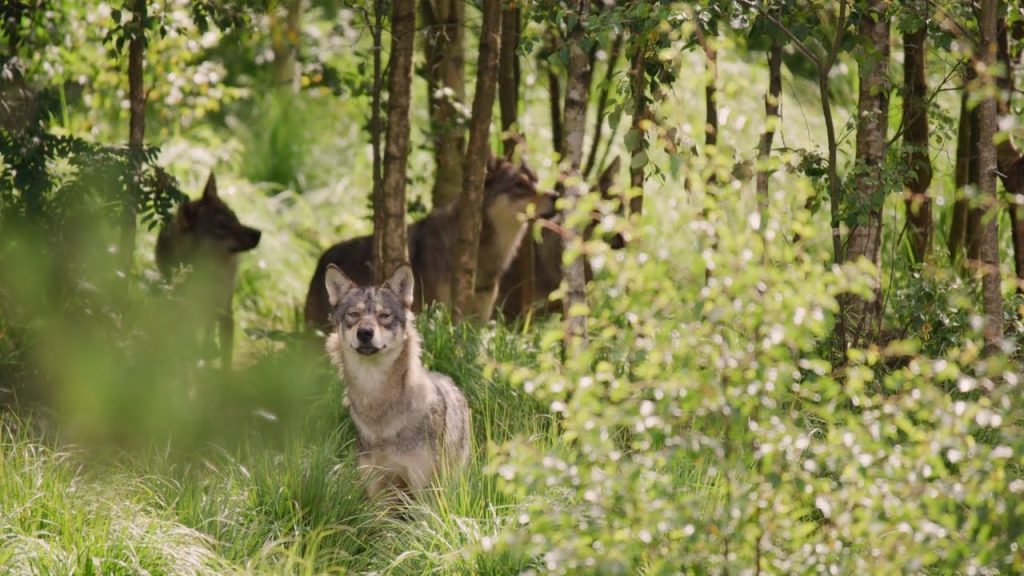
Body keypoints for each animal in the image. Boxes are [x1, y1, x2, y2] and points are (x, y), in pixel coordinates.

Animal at [155, 170, 262, 366]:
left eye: (234, 217)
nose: (258, 234)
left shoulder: (226, 311)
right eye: (221, 227)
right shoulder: (187, 308)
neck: (211, 273)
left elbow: (226, 359)